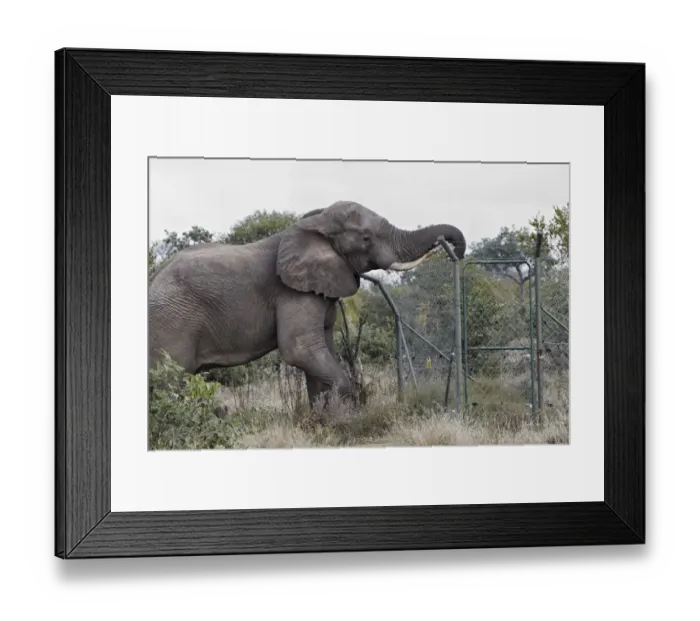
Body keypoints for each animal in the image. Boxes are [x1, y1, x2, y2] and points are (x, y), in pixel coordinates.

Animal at [148, 200, 466, 411]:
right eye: (365, 238)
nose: (452, 248)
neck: (317, 222)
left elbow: (319, 350)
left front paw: (323, 421)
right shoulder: (291, 291)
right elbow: (300, 348)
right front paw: (347, 417)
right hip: (172, 321)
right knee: (171, 380)